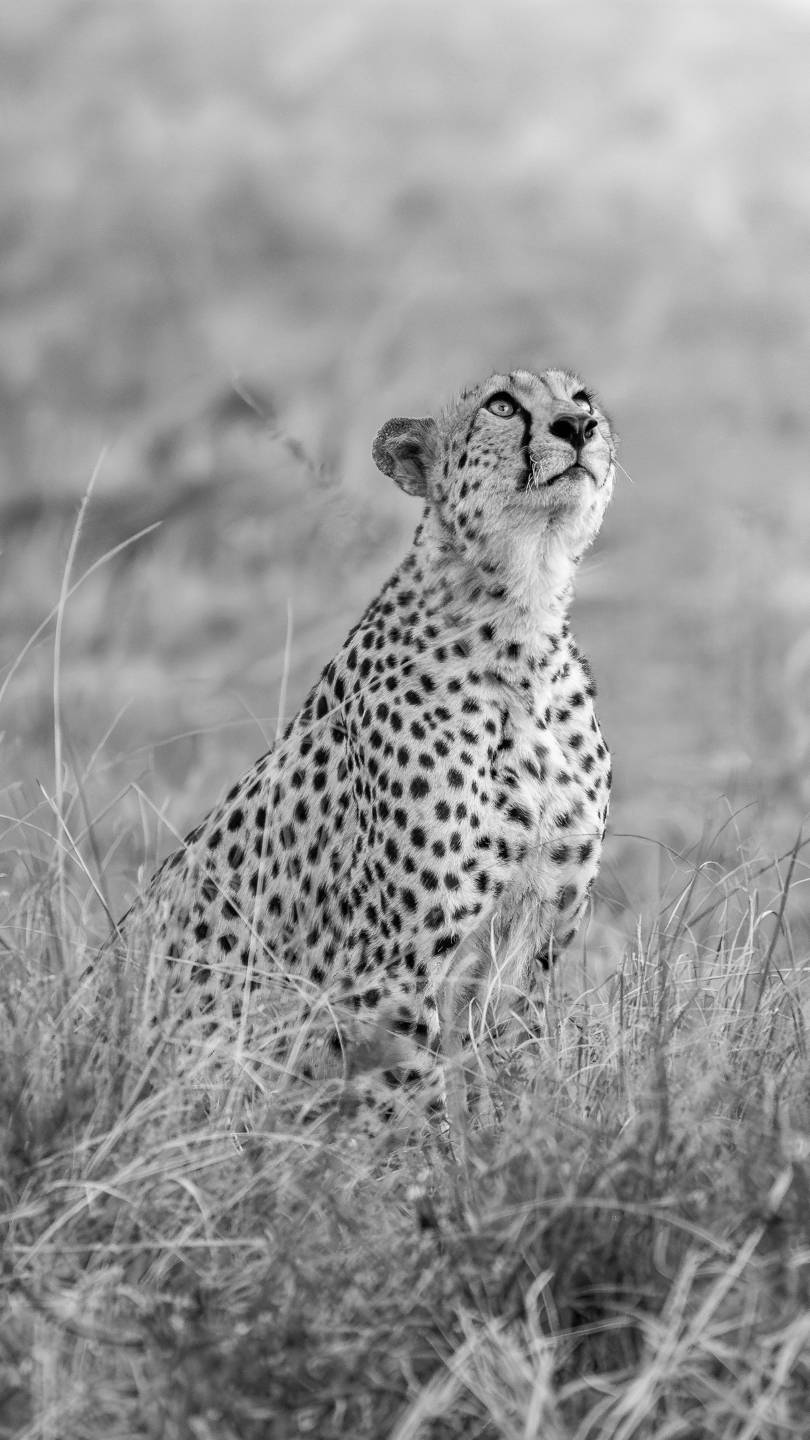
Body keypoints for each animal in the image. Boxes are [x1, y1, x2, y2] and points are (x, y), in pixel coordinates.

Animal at [119, 367, 616, 1092]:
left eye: (582, 401)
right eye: (501, 406)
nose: (578, 428)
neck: (524, 619)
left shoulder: (531, 949)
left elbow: (515, 1083)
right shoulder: (391, 973)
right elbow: (421, 1104)